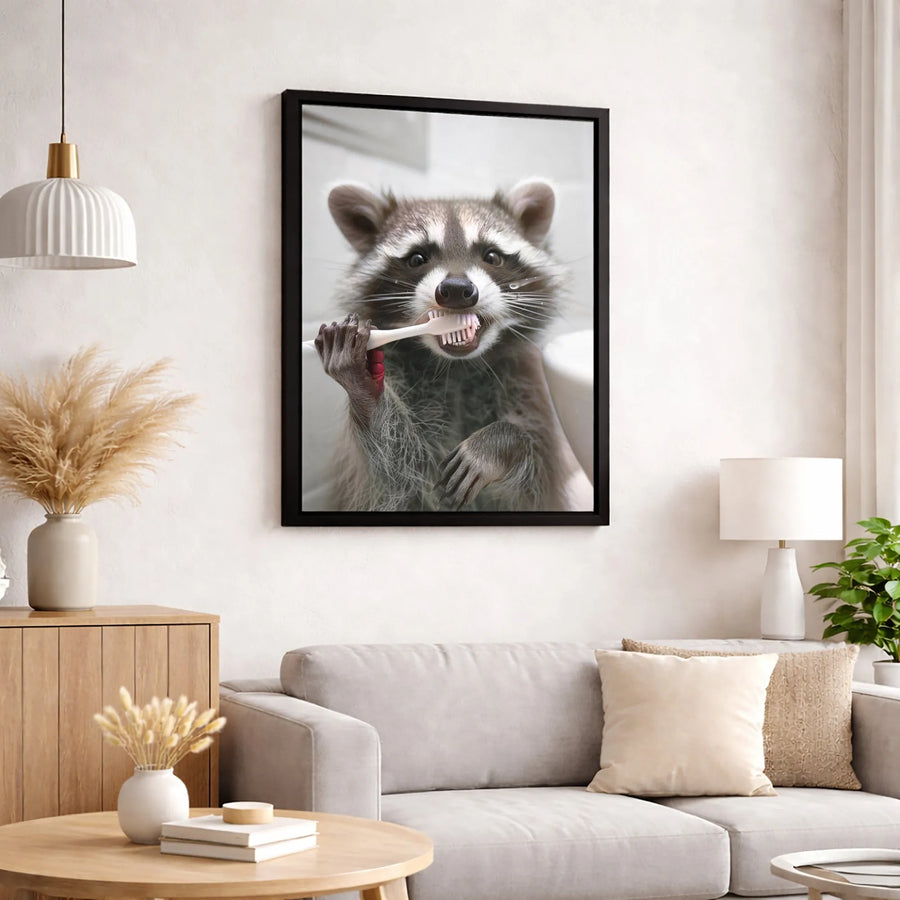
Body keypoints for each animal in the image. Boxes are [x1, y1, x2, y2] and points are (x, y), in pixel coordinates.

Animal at [314, 179, 572, 512]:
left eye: (491, 256)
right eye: (417, 258)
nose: (456, 289)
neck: (457, 366)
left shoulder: (525, 386)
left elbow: (533, 482)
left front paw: (501, 443)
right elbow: (397, 476)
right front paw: (365, 391)